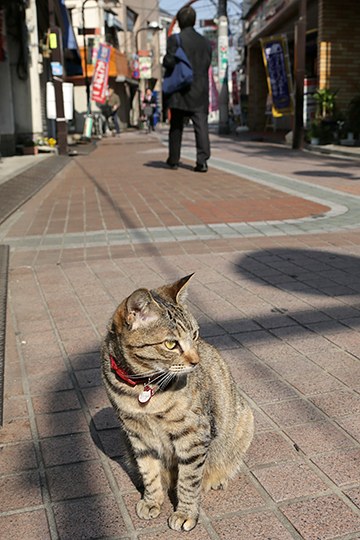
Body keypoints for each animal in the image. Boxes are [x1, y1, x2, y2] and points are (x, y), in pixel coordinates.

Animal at [101, 274, 253, 532]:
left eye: (195, 335)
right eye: (171, 345)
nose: (196, 361)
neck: (143, 387)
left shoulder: (193, 434)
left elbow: (189, 480)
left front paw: (185, 513)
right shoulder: (136, 434)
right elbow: (149, 472)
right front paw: (152, 500)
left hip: (244, 419)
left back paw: (217, 478)